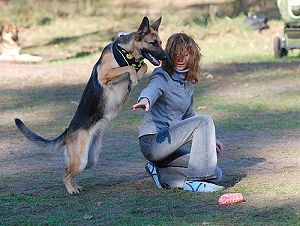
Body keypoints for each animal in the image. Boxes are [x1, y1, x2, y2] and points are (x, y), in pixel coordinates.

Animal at [14, 17, 168, 194]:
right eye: (153, 43)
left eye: (161, 42)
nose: (166, 57)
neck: (126, 52)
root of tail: (68, 131)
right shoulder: (104, 75)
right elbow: (129, 68)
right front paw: (133, 79)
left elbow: (143, 66)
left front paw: (134, 78)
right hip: (81, 160)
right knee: (65, 174)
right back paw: (71, 189)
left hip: (90, 159)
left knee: (68, 169)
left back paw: (75, 186)